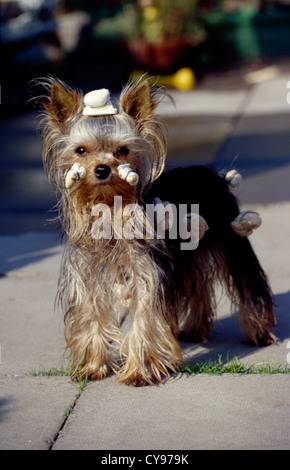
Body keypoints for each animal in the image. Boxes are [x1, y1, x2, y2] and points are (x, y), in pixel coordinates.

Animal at [36, 77, 276, 386]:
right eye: (80, 150)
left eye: (123, 150)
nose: (102, 169)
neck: (109, 209)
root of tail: (216, 176)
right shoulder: (86, 278)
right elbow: (91, 315)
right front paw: (92, 368)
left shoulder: (147, 275)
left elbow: (145, 316)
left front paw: (140, 372)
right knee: (199, 283)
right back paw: (194, 330)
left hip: (231, 236)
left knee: (248, 283)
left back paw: (259, 333)